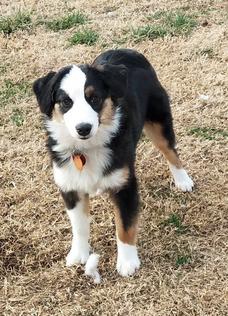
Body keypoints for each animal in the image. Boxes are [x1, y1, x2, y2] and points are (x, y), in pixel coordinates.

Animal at [32, 48, 192, 276]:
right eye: (66, 102)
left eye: (94, 98)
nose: (83, 128)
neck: (88, 148)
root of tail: (127, 50)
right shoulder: (70, 187)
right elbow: (79, 226)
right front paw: (78, 255)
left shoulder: (124, 186)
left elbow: (124, 227)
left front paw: (127, 263)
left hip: (159, 121)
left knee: (170, 151)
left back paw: (183, 180)